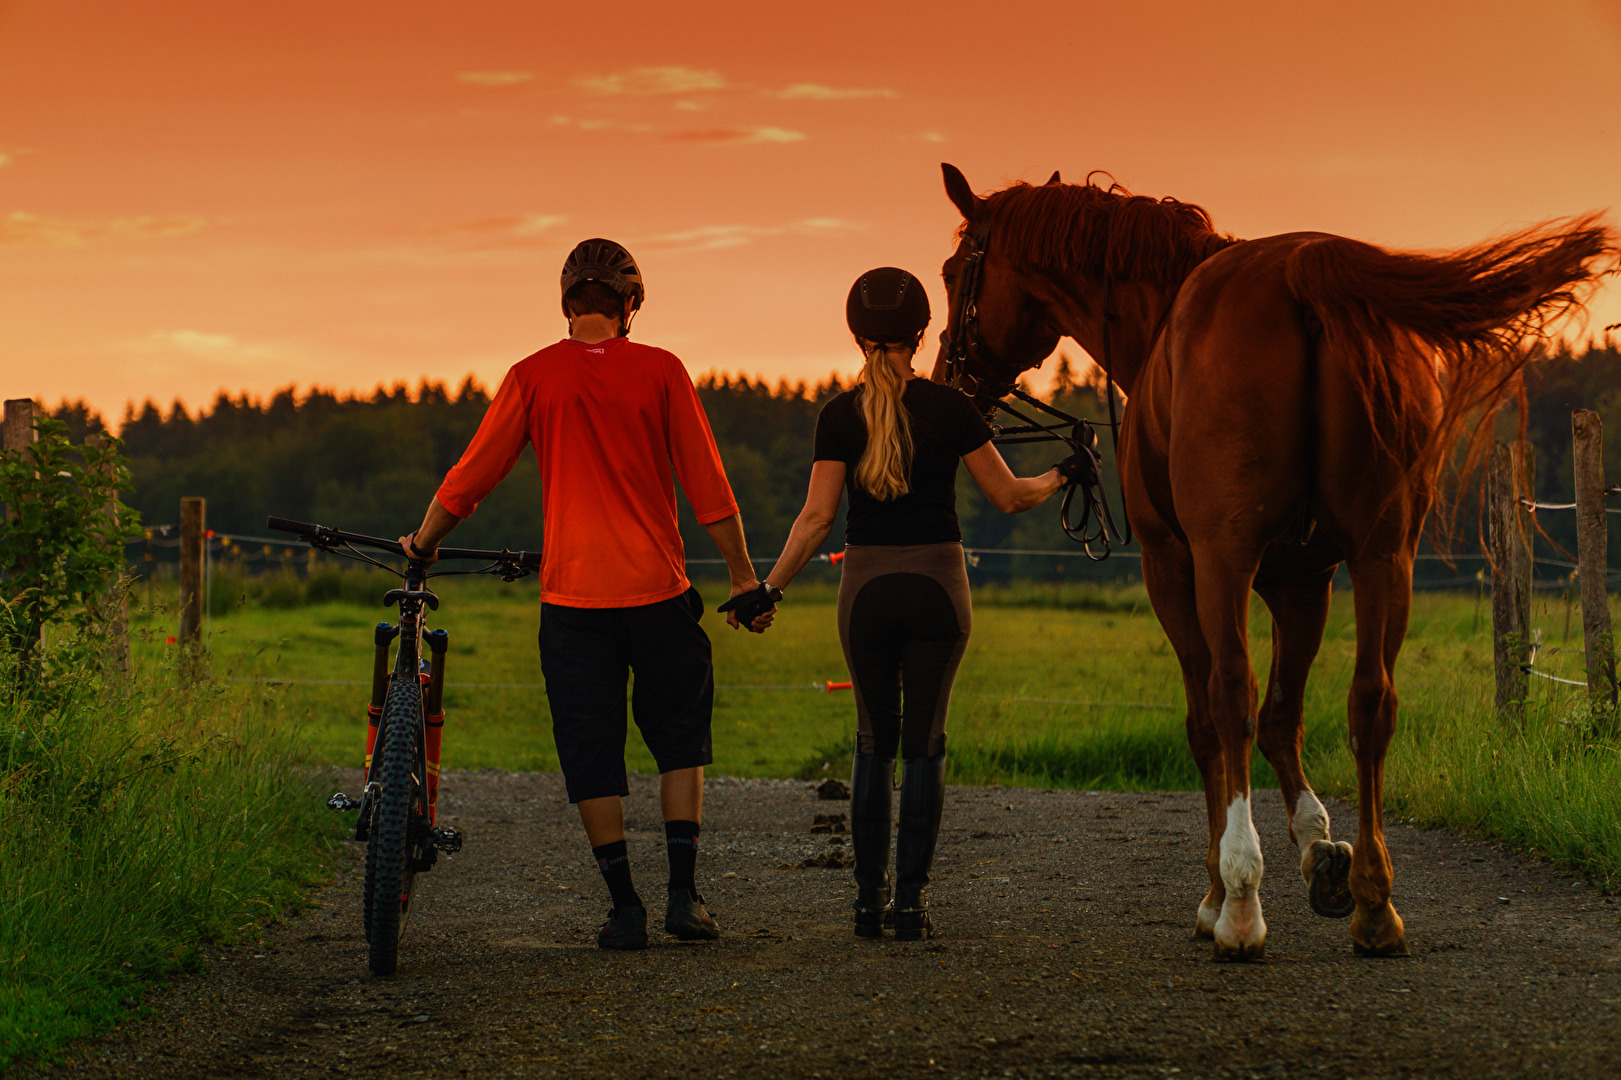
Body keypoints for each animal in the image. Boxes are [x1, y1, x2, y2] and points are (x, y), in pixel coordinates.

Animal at [933, 163, 1614, 953]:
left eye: (952, 271)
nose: (946, 381)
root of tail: (1301, 273)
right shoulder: (1305, 580)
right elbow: (1287, 716)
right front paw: (1322, 851)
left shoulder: (1177, 567)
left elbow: (1212, 720)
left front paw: (1219, 889)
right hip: (1385, 557)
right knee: (1370, 701)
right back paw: (1374, 903)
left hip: (1226, 559)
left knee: (1231, 698)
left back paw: (1239, 903)